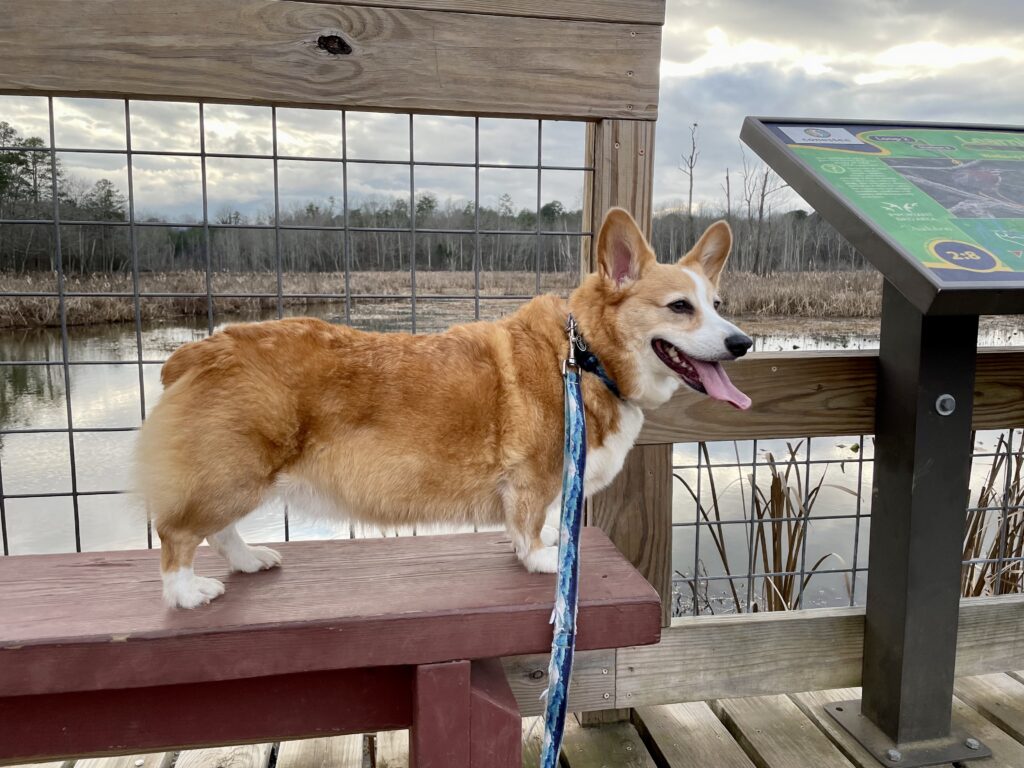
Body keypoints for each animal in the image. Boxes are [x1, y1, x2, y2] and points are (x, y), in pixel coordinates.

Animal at [134, 207, 753, 610]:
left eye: (718, 304)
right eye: (680, 307)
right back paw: (187, 592)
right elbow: (529, 525)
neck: (587, 356)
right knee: (178, 534)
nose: (742, 343)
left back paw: (248, 560)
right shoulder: (531, 478)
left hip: (236, 476)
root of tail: (197, 350)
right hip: (235, 474)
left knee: (218, 531)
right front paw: (542, 560)